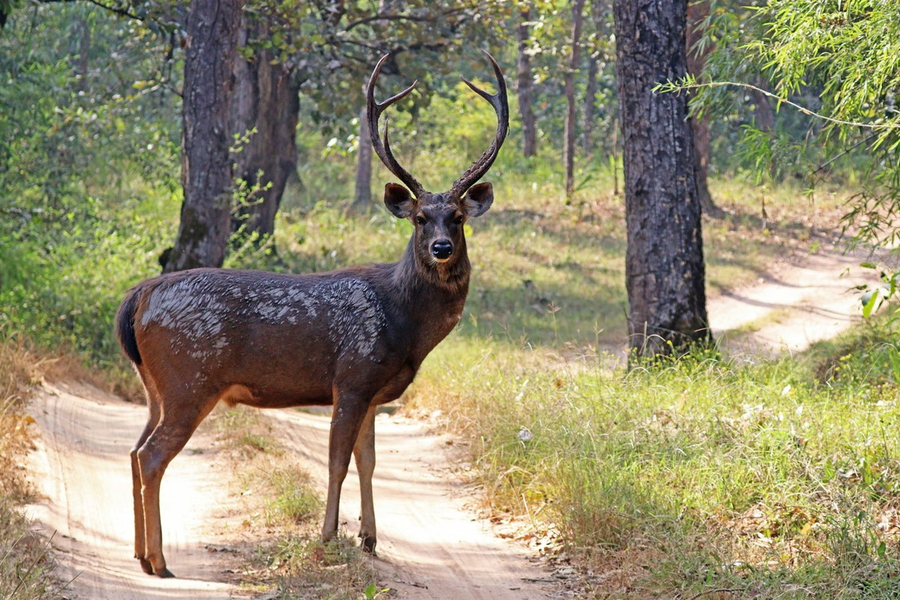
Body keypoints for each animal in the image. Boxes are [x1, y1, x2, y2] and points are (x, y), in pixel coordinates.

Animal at [114, 51, 506, 576]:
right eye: (421, 218)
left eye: (458, 218)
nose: (442, 248)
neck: (404, 325)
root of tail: (140, 295)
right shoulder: (353, 376)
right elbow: (337, 461)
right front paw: (327, 536)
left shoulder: (374, 392)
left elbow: (368, 460)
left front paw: (369, 538)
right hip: (188, 379)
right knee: (153, 456)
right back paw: (159, 560)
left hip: (154, 385)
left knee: (134, 450)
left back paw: (139, 553)